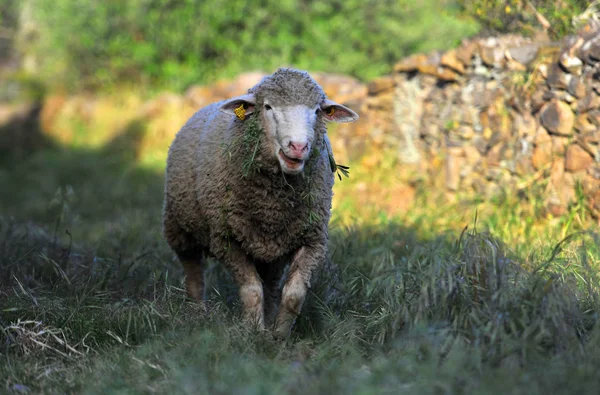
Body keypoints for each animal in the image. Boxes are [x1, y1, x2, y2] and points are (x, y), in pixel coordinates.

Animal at [162, 68, 358, 338]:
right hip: (179, 227)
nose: (298, 146)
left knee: (272, 286)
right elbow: (252, 291)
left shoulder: (312, 240)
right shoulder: (226, 240)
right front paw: (252, 332)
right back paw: (197, 312)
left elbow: (293, 295)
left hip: (274, 250)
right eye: (268, 107)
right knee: (193, 273)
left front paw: (278, 336)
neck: (272, 204)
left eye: (317, 110)